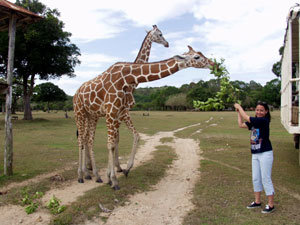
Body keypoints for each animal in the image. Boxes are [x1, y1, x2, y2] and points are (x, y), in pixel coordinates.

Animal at [74, 45, 214, 190]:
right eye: (197, 57)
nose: (213, 64)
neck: (127, 77)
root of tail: (76, 92)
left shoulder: (118, 112)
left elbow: (117, 141)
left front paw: (112, 176)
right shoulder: (112, 111)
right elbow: (111, 144)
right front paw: (114, 180)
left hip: (91, 115)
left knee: (88, 139)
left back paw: (93, 174)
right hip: (79, 112)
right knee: (81, 139)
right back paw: (82, 176)